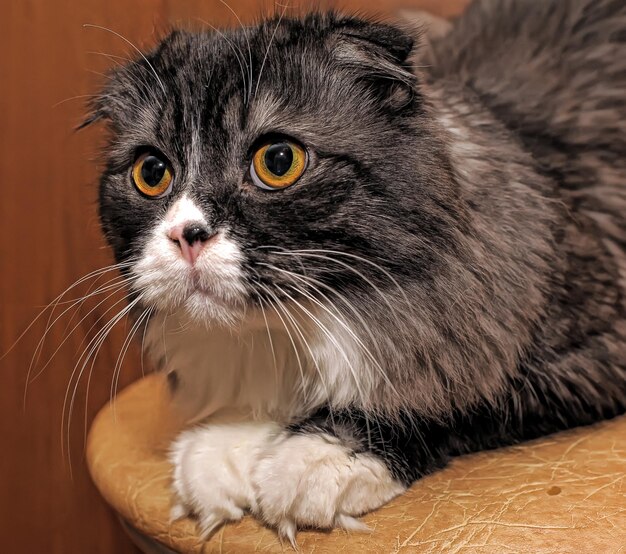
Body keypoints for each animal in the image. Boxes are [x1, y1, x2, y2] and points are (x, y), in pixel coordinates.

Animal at [84, 0, 624, 544]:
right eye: (152, 172)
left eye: (278, 160)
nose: (186, 235)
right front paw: (225, 444)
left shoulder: (590, 350)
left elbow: (448, 405)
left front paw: (314, 459)